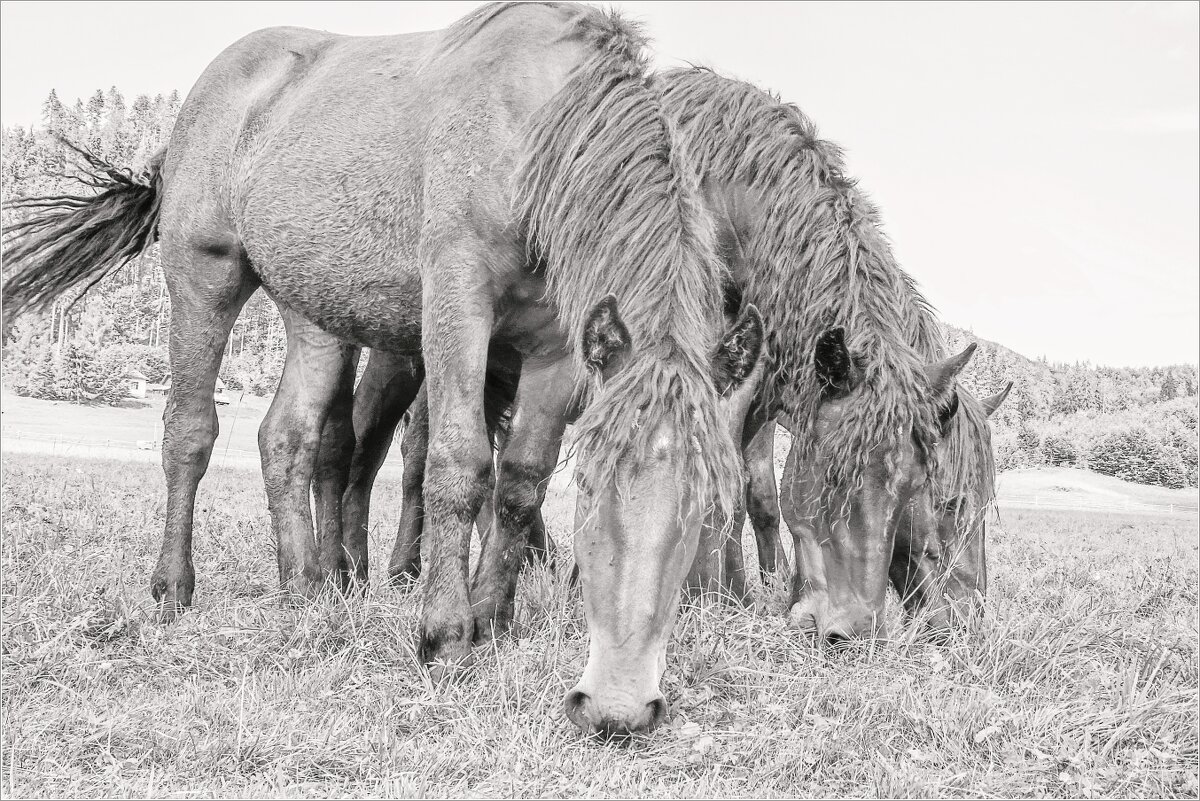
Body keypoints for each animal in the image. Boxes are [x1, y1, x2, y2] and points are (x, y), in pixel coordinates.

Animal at [2, 1, 758, 738]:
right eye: (595, 489)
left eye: (708, 505)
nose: (618, 707)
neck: (538, 132)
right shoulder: (457, 300)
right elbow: (458, 466)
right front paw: (446, 635)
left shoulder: (559, 348)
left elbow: (520, 483)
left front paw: (492, 620)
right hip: (204, 279)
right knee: (190, 433)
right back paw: (173, 588)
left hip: (313, 316)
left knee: (286, 437)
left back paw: (305, 588)